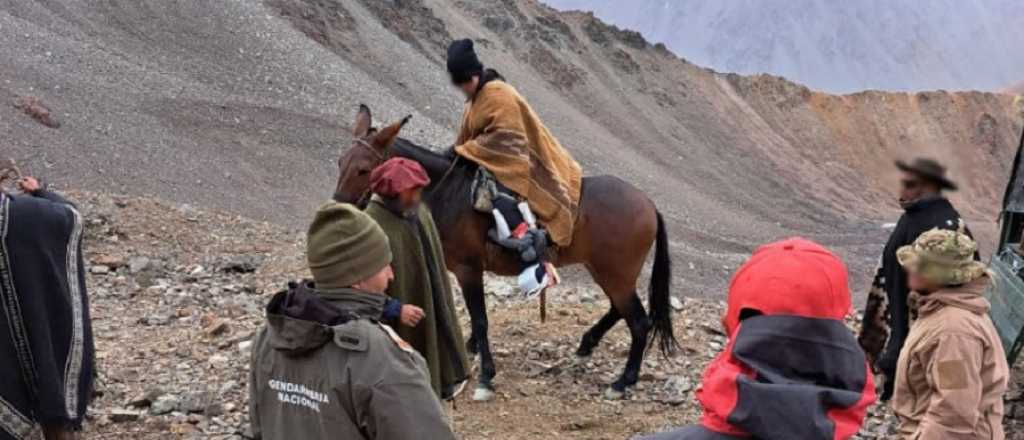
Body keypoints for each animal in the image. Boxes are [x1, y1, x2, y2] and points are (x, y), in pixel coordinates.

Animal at [331, 104, 675, 401]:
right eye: (340, 162)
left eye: (364, 169)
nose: (340, 210)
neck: (448, 192)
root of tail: (649, 204)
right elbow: (474, 317)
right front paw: (472, 347)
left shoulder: (468, 268)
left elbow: (481, 318)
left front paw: (486, 375)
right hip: (608, 271)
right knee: (620, 309)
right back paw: (587, 344)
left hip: (615, 273)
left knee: (638, 321)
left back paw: (623, 381)